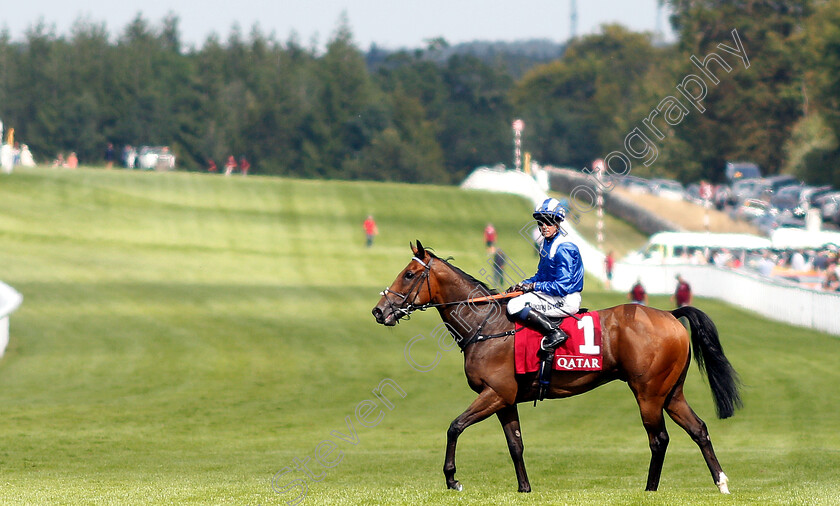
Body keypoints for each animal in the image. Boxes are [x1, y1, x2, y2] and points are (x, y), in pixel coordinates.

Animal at [374, 241, 740, 494]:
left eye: (408, 274)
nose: (379, 311)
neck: (487, 325)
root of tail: (670, 315)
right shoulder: (505, 400)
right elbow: (516, 444)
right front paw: (524, 488)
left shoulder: (494, 393)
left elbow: (454, 427)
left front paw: (452, 479)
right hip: (671, 393)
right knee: (699, 429)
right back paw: (721, 481)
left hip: (648, 393)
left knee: (659, 438)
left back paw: (650, 489)